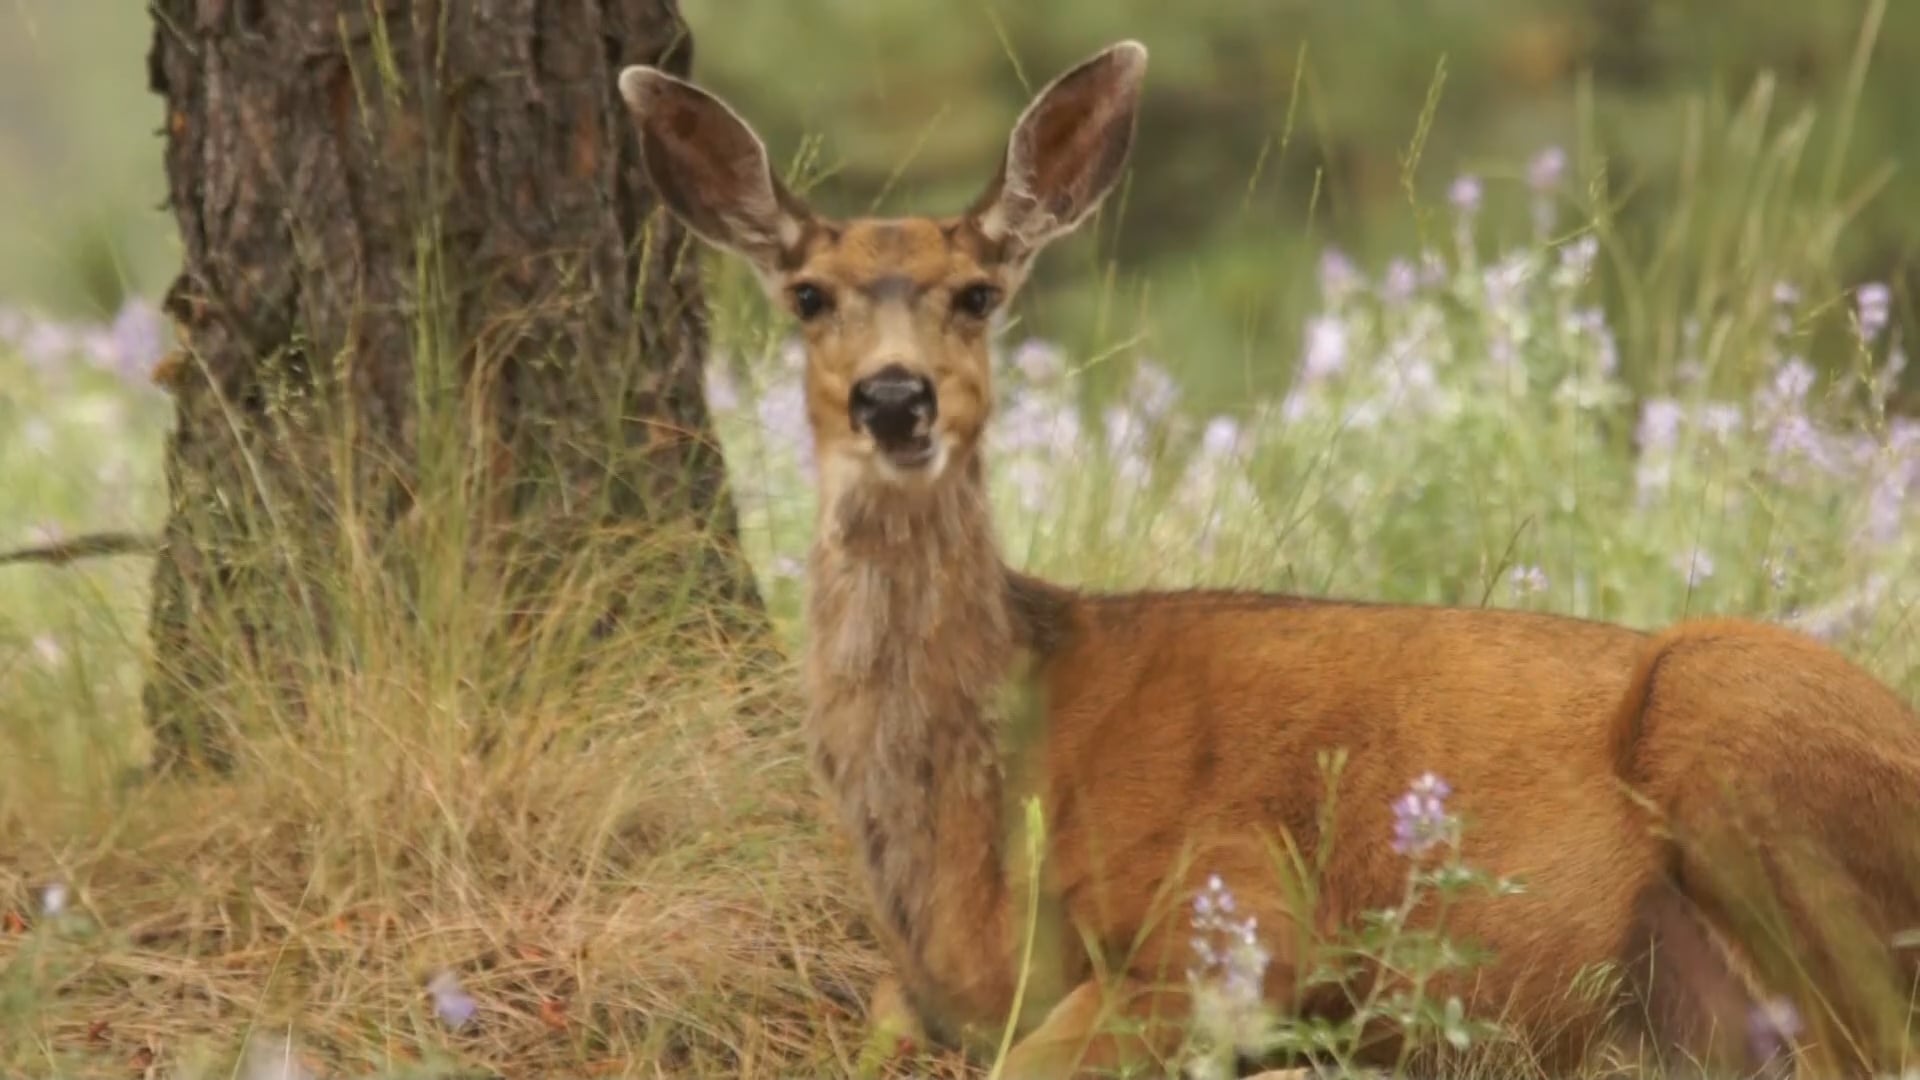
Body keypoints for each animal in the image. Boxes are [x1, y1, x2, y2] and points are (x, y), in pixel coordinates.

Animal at [617, 41, 1920, 1080]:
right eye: (807, 295)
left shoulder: (1235, 917)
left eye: (978, 293)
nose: (895, 399)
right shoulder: (922, 996)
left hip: (1740, 730)